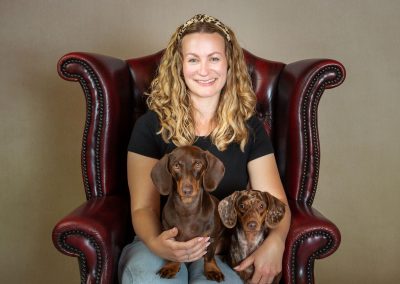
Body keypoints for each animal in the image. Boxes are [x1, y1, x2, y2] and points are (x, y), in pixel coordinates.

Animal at [150, 146, 225, 282]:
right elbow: (174, 254)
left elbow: (210, 255)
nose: (187, 190)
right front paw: (171, 266)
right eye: (176, 166)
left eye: (198, 164)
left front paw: (212, 269)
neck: (187, 209)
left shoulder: (212, 237)